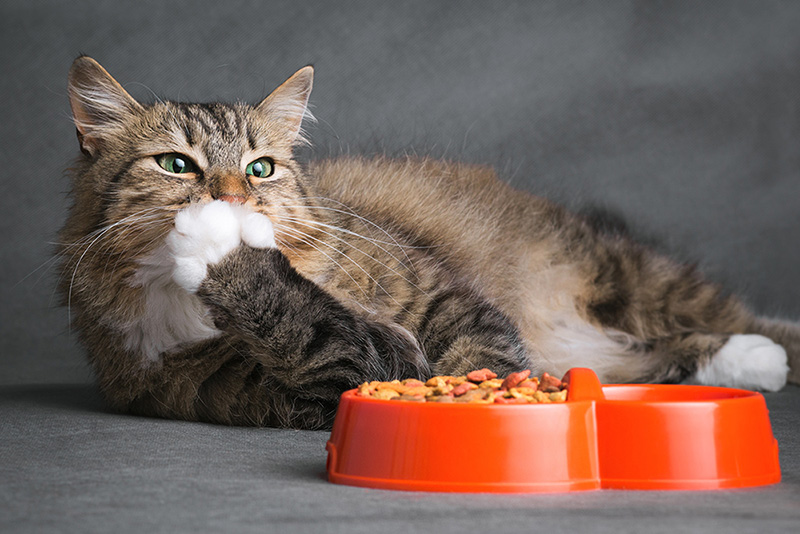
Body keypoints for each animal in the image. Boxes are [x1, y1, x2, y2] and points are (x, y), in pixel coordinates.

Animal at [59, 55, 796, 432]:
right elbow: (314, 324)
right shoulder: (310, 385)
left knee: (723, 317)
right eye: (175, 165)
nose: (232, 199)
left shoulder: (440, 298)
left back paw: (768, 352)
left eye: (261, 168)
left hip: (627, 276)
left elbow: (479, 354)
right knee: (657, 358)